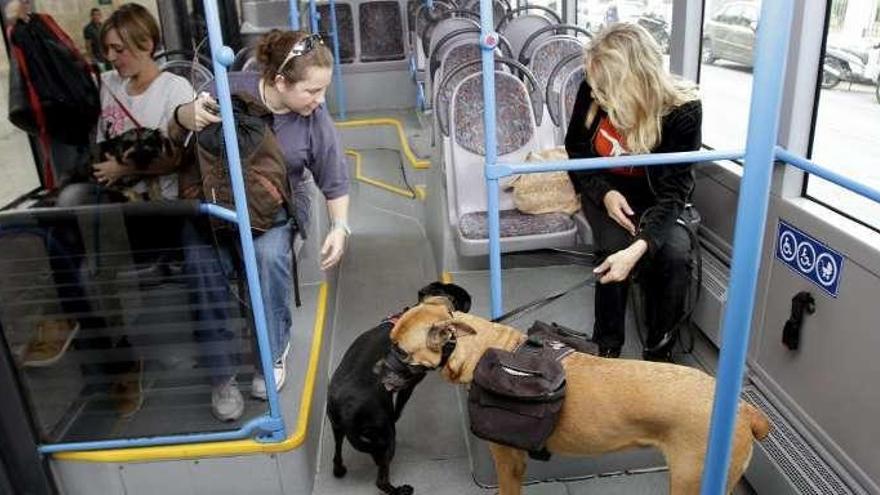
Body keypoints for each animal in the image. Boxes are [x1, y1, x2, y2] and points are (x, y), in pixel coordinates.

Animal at [326, 282, 470, 495]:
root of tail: (346, 411)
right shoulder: (409, 384)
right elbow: (399, 407)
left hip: (337, 428)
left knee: (337, 455)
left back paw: (339, 469)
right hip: (386, 435)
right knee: (381, 480)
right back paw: (399, 489)